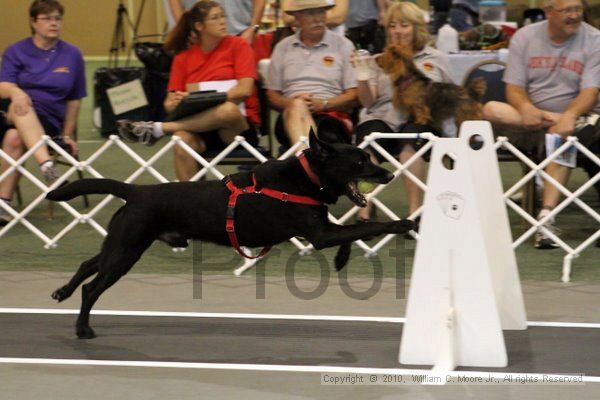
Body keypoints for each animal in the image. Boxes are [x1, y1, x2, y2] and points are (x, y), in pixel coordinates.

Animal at [48, 131, 412, 338]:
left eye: (368, 157)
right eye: (360, 161)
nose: (390, 174)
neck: (302, 179)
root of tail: (136, 191)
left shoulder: (323, 229)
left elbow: (354, 232)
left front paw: (341, 260)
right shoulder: (320, 233)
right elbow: (365, 227)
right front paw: (404, 224)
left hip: (122, 243)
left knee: (87, 264)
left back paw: (62, 292)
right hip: (127, 249)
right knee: (92, 287)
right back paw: (82, 328)